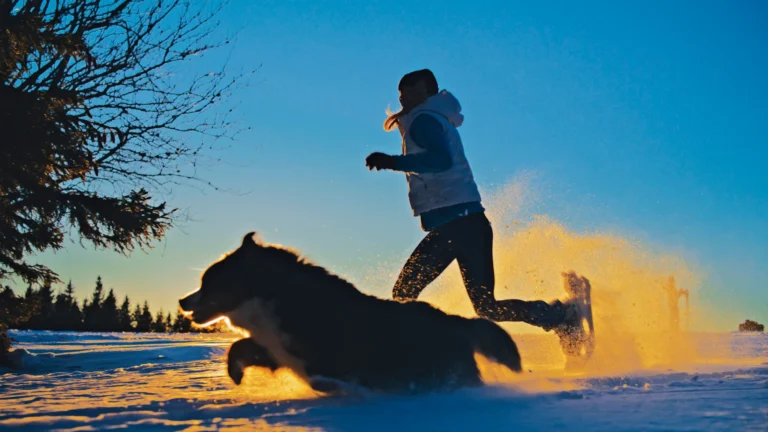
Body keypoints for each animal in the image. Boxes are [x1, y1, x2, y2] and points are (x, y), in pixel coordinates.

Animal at [178, 233, 520, 394]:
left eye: (207, 282)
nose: (182, 300)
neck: (274, 296)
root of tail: (454, 321)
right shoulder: (276, 348)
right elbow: (239, 347)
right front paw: (235, 375)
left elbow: (324, 377)